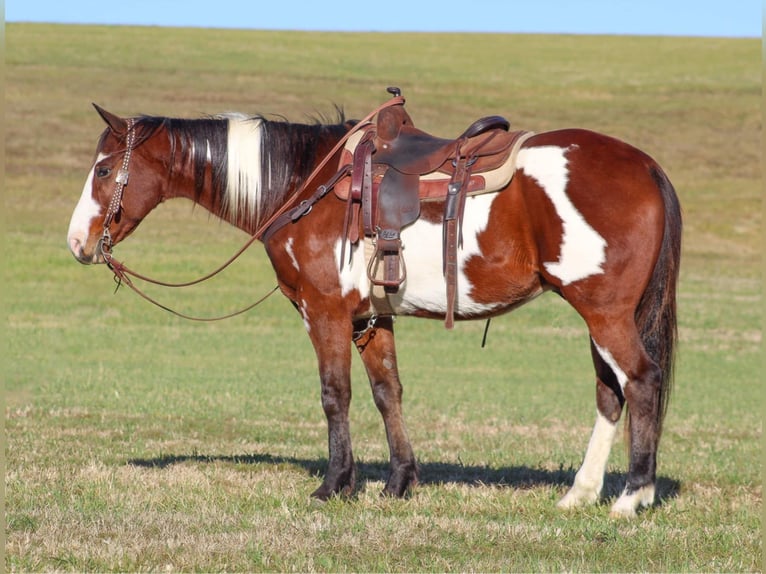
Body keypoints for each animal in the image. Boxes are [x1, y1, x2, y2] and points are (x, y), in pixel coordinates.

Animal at [69, 92, 684, 520]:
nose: (78, 242)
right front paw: (399, 482)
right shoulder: (372, 316)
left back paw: (632, 497)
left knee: (641, 381)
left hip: (605, 312)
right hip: (600, 316)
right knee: (610, 394)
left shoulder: (325, 311)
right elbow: (388, 392)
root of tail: (646, 165)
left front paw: (334, 485)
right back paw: (580, 494)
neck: (304, 183)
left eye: (104, 170)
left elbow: (335, 395)